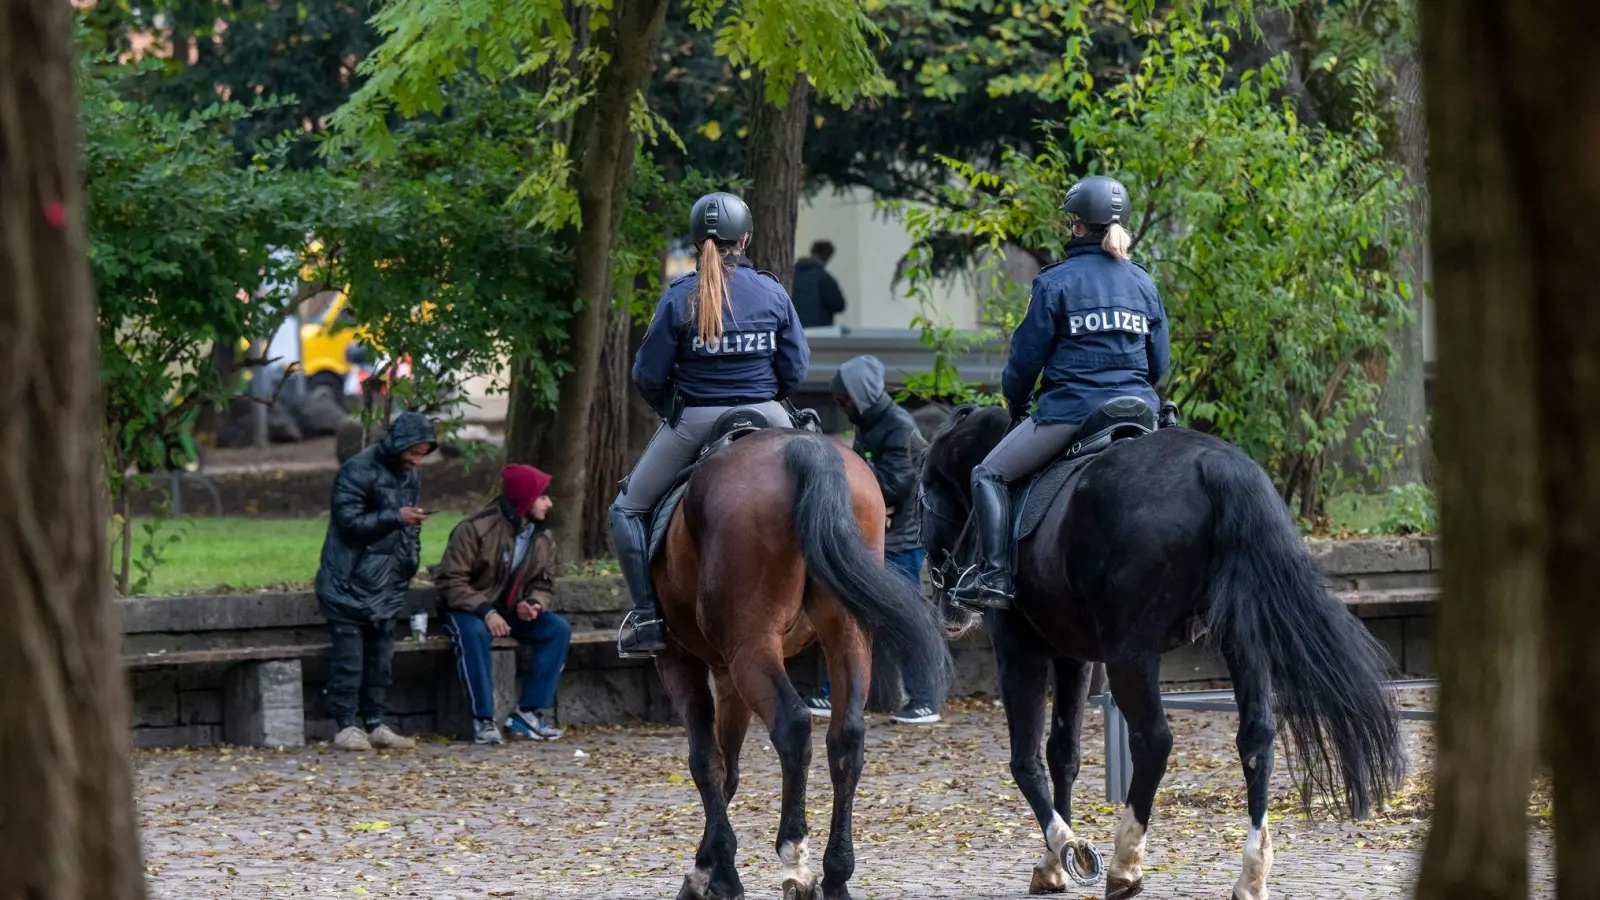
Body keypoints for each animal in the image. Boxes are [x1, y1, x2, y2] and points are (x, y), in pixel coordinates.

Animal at [652, 422, 947, 896]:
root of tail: (804, 448)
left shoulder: (679, 659)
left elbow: (706, 761)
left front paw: (716, 873)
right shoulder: (726, 674)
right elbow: (727, 768)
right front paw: (708, 865)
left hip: (751, 646)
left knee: (791, 725)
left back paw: (795, 859)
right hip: (846, 633)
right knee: (846, 737)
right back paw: (836, 873)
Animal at [921, 406, 1408, 896]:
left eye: (923, 494)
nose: (946, 603)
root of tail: (1215, 465)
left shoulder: (1019, 648)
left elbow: (1026, 760)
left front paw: (1068, 848)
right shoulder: (1073, 655)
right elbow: (1064, 754)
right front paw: (1053, 862)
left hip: (1130, 654)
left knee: (1153, 740)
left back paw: (1125, 864)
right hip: (1240, 641)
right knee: (1256, 737)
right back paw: (1251, 875)